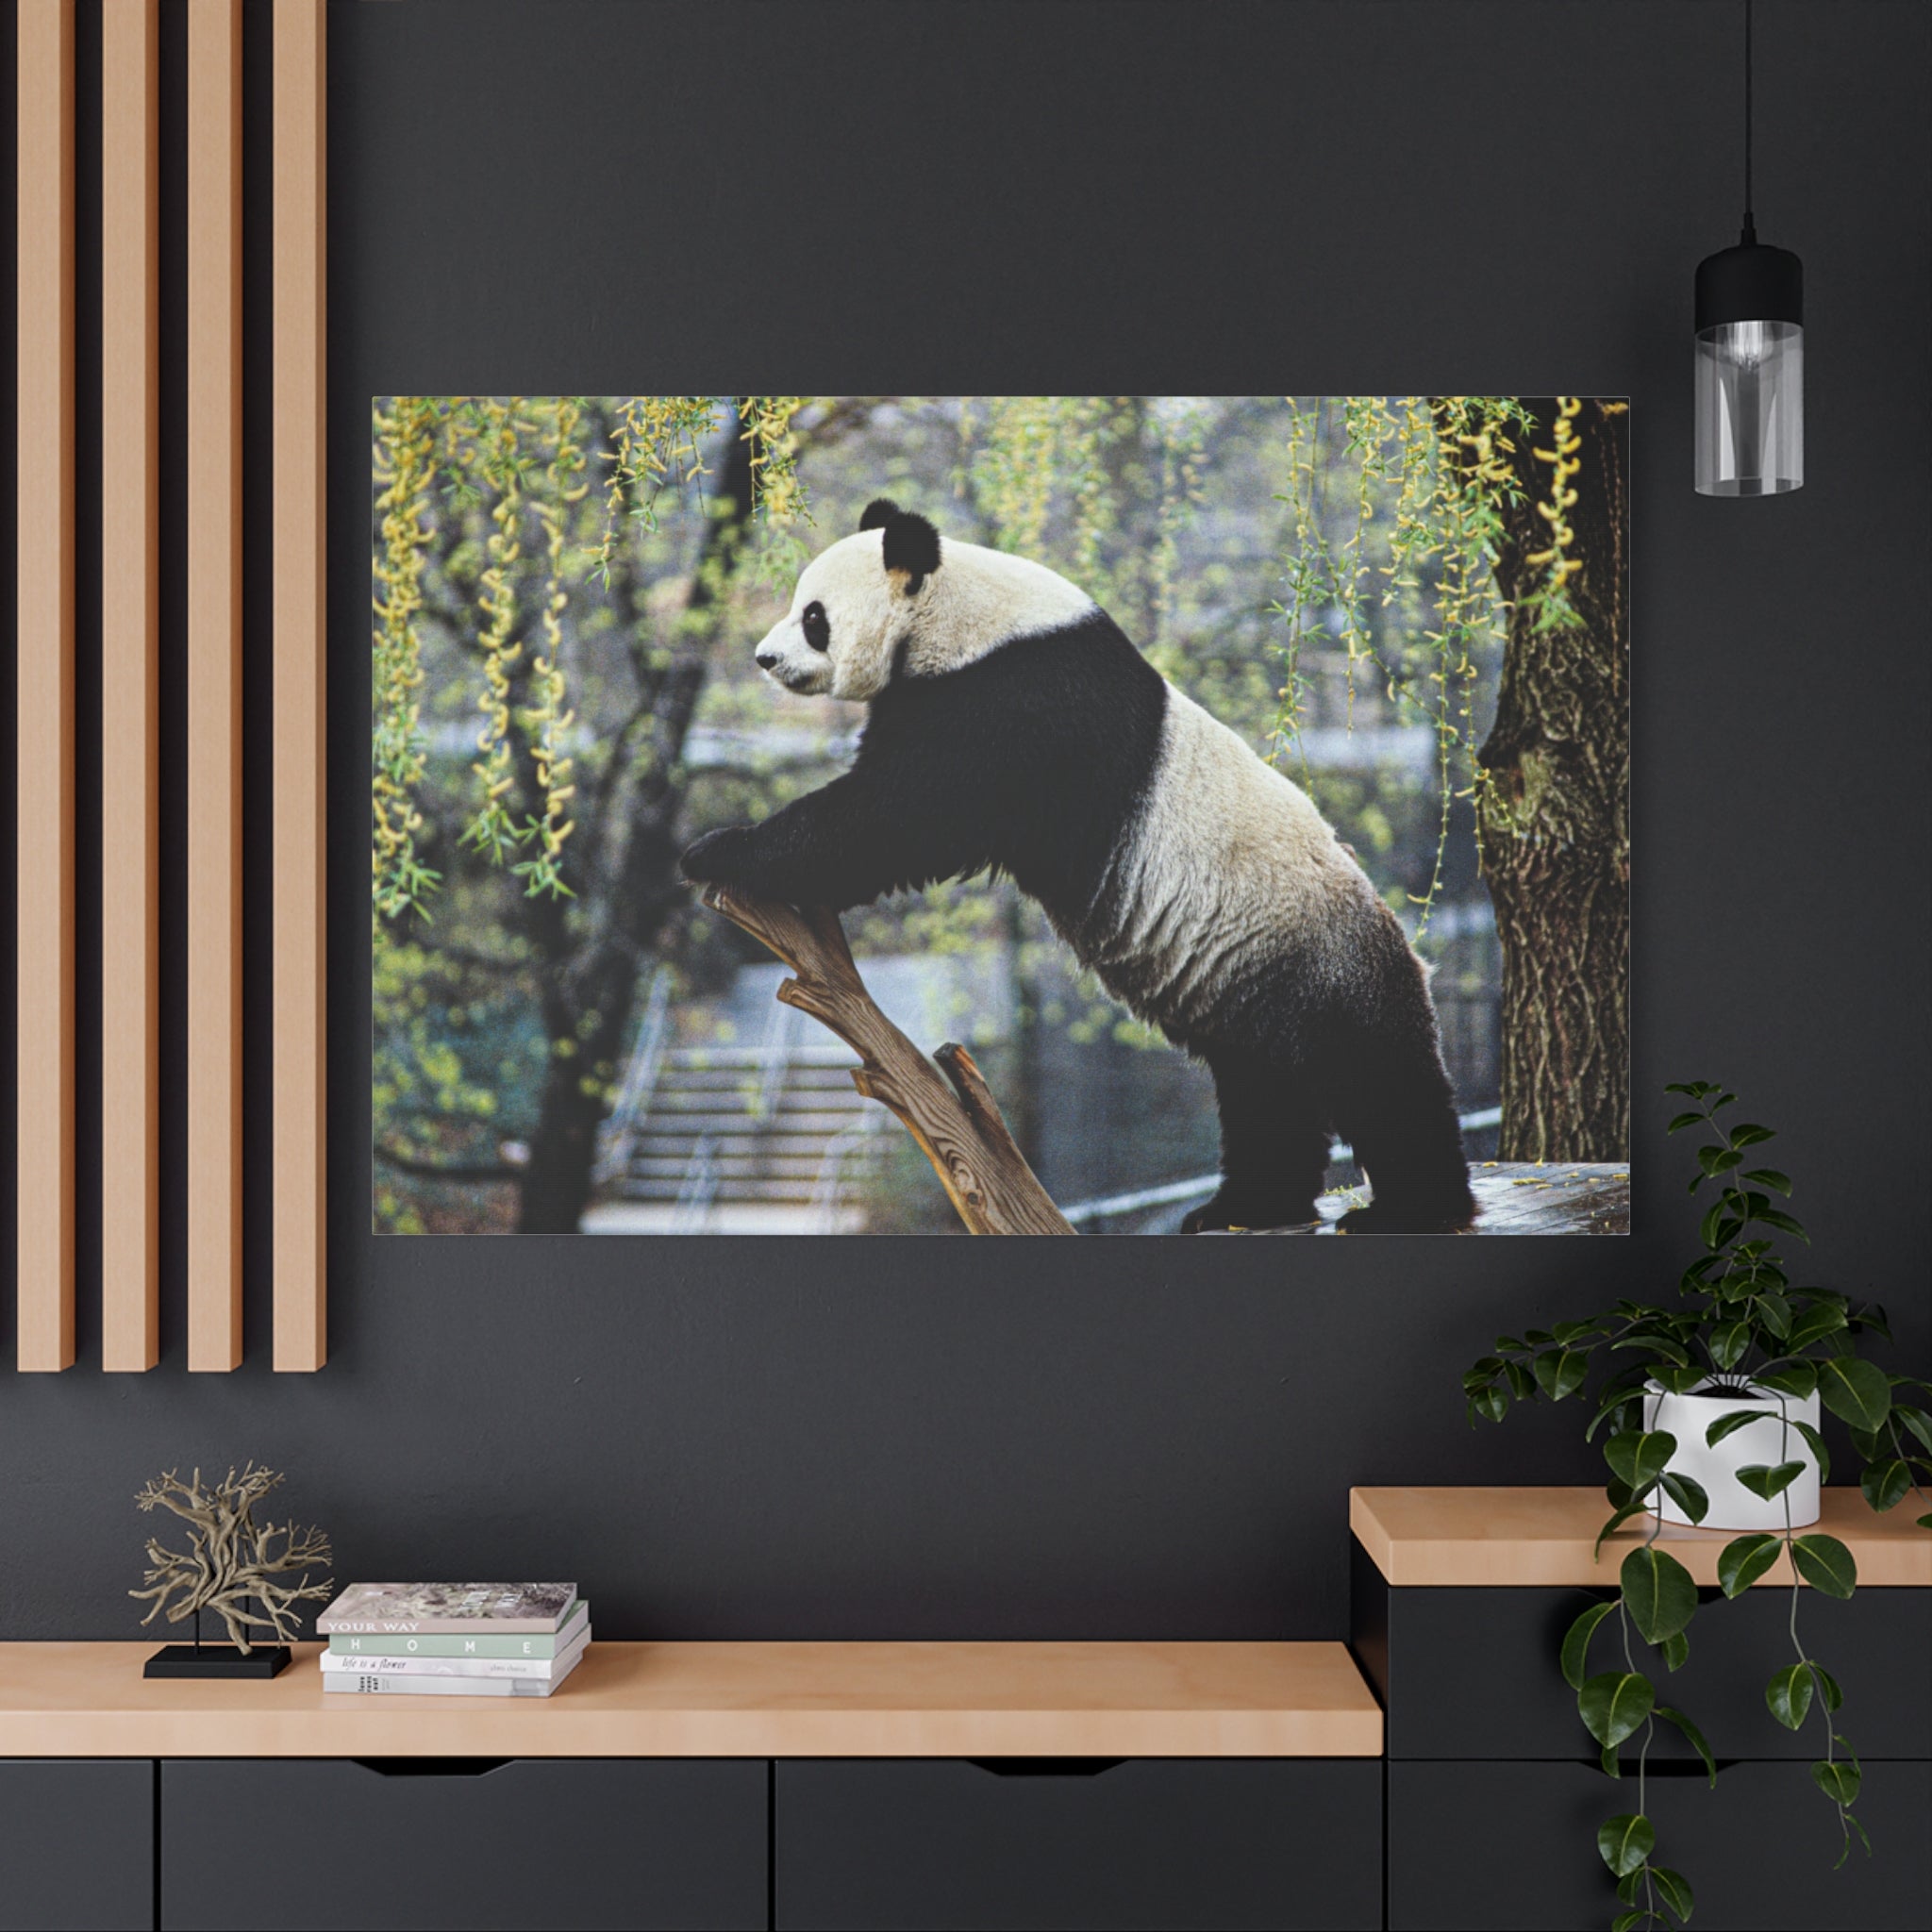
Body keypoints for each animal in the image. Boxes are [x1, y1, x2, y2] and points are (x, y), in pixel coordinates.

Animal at [681, 498, 1476, 1234]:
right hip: (1253, 985)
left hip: (1317, 958)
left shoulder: (1017, 701)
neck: (961, 613)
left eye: (813, 616)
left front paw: (719, 850)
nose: (765, 659)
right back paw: (1243, 1206)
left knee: (1376, 1077)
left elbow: (901, 815)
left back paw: (1413, 1208)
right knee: (1264, 1091)